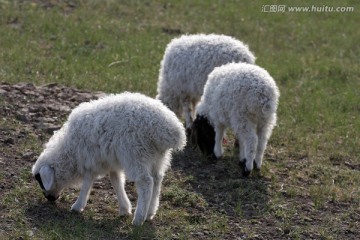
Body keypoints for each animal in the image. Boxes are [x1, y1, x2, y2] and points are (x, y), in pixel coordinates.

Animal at [31, 92, 186, 225]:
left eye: (40, 179)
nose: (49, 199)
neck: (69, 151)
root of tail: (169, 129)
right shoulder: (110, 161)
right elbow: (116, 181)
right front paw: (124, 208)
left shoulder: (90, 161)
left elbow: (87, 183)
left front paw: (77, 206)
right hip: (157, 158)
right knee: (157, 180)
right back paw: (150, 213)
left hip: (136, 154)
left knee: (146, 182)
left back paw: (138, 219)